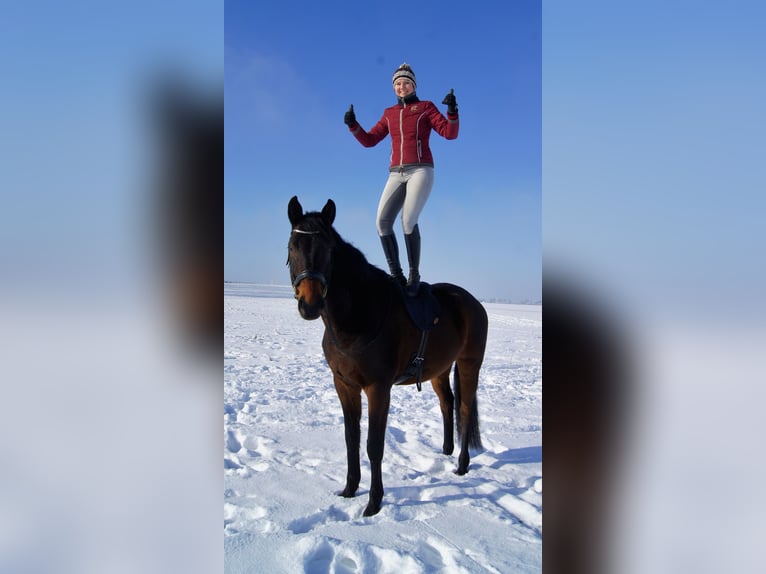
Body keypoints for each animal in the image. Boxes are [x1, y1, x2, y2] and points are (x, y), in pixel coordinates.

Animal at [286, 196, 488, 516]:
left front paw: (373, 502)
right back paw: (446, 451)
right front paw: (349, 489)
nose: (310, 304)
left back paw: (461, 465)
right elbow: (351, 439)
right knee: (447, 403)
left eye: (328, 250)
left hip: (470, 365)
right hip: (440, 370)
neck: (358, 316)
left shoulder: (377, 388)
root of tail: (473, 303)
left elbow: (373, 445)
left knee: (465, 409)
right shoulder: (344, 385)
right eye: (293, 246)